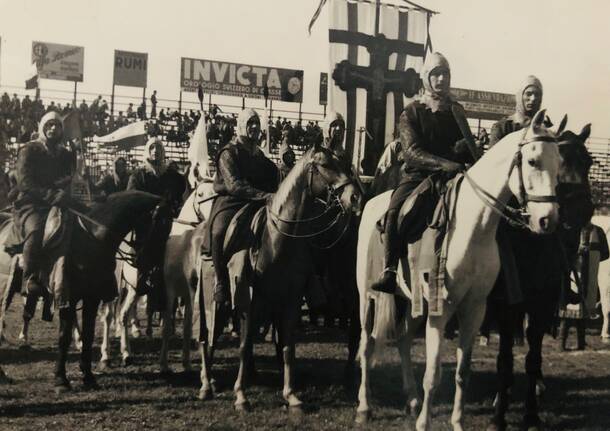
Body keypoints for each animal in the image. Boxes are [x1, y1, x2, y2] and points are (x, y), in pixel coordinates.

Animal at [356, 111, 560, 431]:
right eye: (532, 161)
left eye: (559, 164)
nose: (547, 220)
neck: (470, 227)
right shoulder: (442, 311)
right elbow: (433, 374)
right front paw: (424, 423)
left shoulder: (474, 309)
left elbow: (462, 372)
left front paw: (457, 422)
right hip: (367, 297)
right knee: (366, 345)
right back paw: (364, 407)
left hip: (413, 303)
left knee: (403, 339)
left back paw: (411, 400)